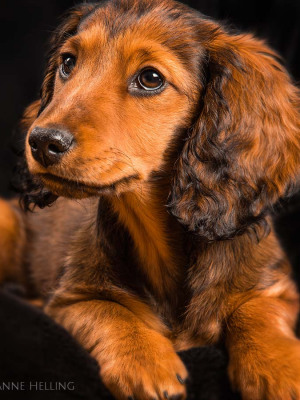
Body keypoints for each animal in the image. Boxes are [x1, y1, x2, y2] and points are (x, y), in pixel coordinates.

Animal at [0, 0, 300, 398]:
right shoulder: (70, 298)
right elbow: (110, 313)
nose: (41, 142)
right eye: (68, 62)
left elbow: (257, 311)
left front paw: (280, 368)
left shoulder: (276, 286)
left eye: (151, 79)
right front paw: (144, 361)